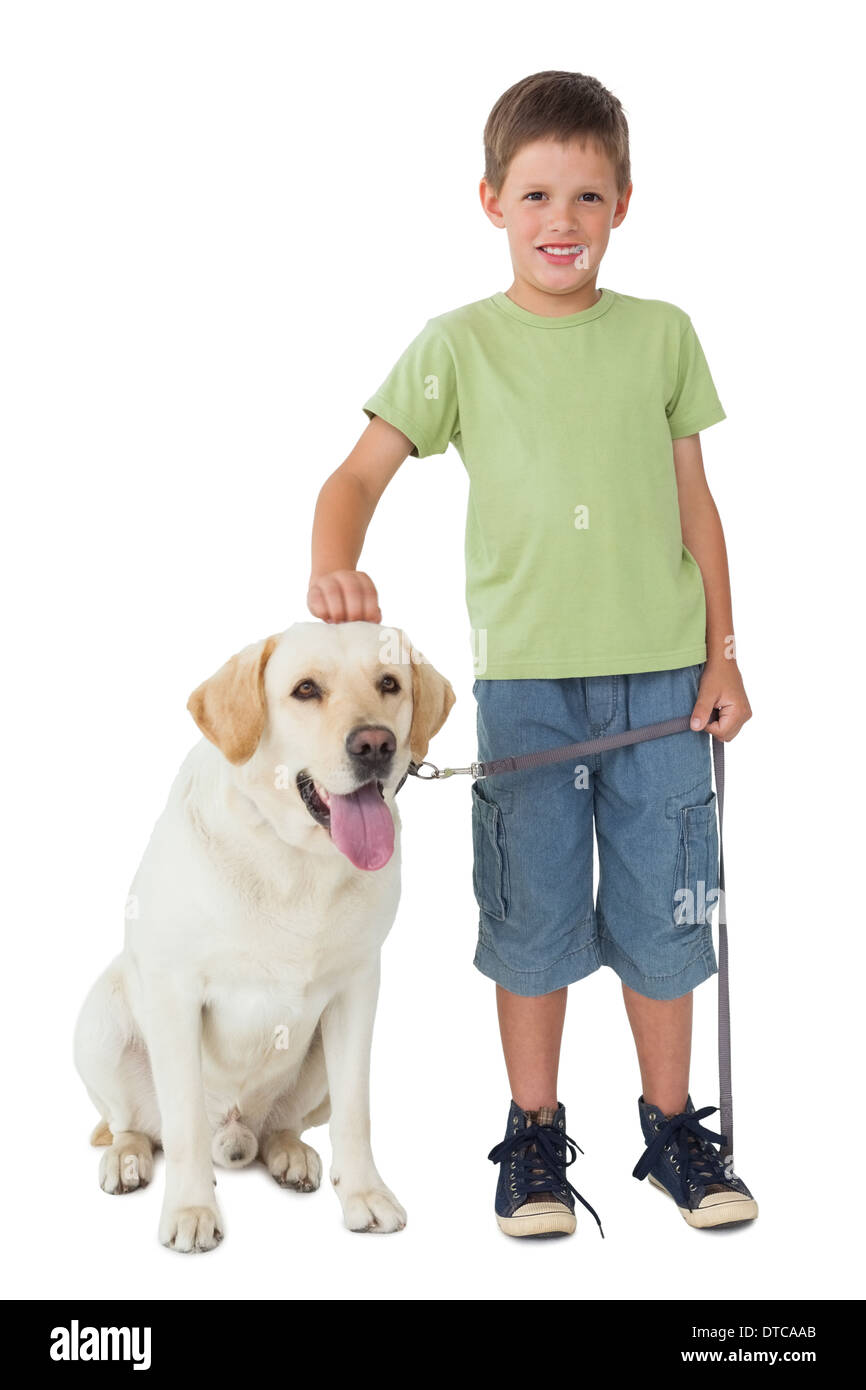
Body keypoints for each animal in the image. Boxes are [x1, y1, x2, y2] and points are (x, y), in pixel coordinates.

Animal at [72, 625, 461, 1256]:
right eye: (305, 690)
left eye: (389, 684)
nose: (375, 745)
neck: (295, 859)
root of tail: (234, 1132)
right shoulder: (175, 991)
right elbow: (181, 1119)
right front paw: (191, 1209)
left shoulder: (358, 989)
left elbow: (356, 1111)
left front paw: (366, 1194)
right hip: (101, 1024)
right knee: (139, 1126)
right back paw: (127, 1160)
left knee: (283, 1123)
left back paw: (290, 1154)